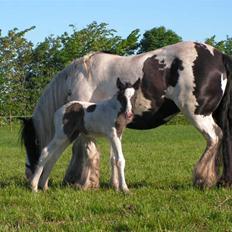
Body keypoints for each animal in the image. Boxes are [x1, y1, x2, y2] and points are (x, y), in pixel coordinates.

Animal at [20, 41, 232, 190]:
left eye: (30, 143)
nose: (27, 176)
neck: (79, 76)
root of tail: (219, 56)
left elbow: (87, 151)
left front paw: (83, 183)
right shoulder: (110, 128)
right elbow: (112, 155)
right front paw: (114, 184)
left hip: (198, 114)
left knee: (214, 138)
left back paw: (203, 179)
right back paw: (223, 182)